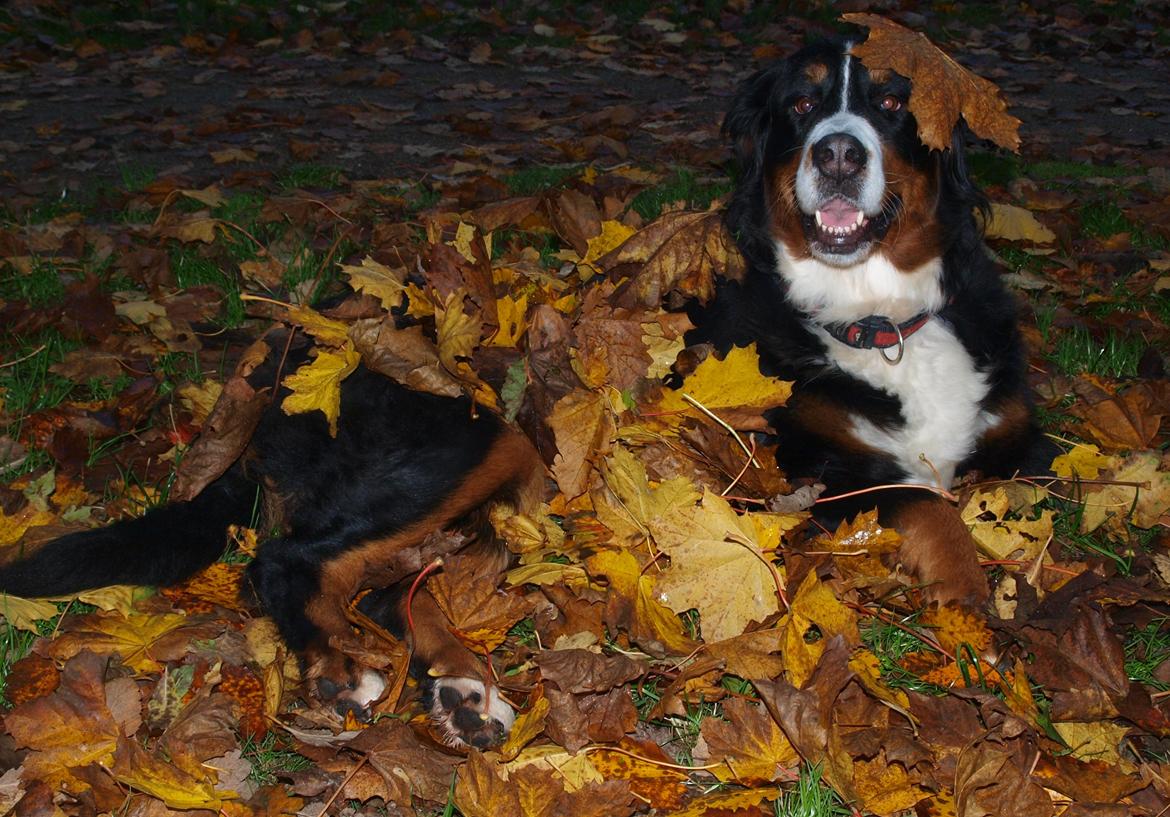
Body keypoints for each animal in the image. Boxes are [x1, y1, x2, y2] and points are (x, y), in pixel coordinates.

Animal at [687, 36, 1057, 599]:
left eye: (891, 102)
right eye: (802, 103)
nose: (838, 155)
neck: (878, 321)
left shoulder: (1019, 440)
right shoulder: (822, 467)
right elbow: (929, 505)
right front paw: (968, 597)